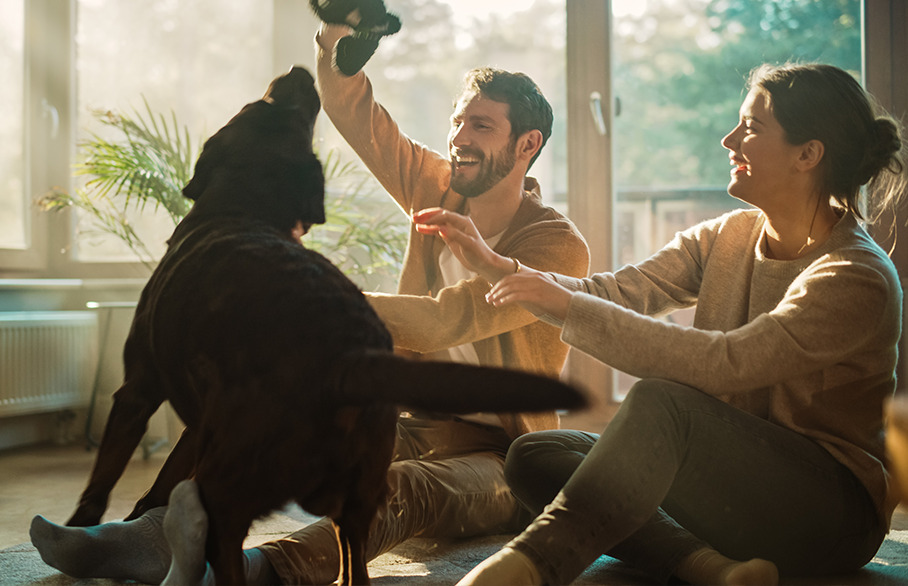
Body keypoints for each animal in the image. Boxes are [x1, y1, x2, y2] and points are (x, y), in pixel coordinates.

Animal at [56, 66, 584, 580]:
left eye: (256, 105)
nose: (297, 71)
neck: (243, 208)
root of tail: (344, 355)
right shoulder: (197, 424)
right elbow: (164, 479)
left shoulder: (138, 390)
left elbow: (104, 479)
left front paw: (84, 524)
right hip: (357, 484)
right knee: (352, 558)